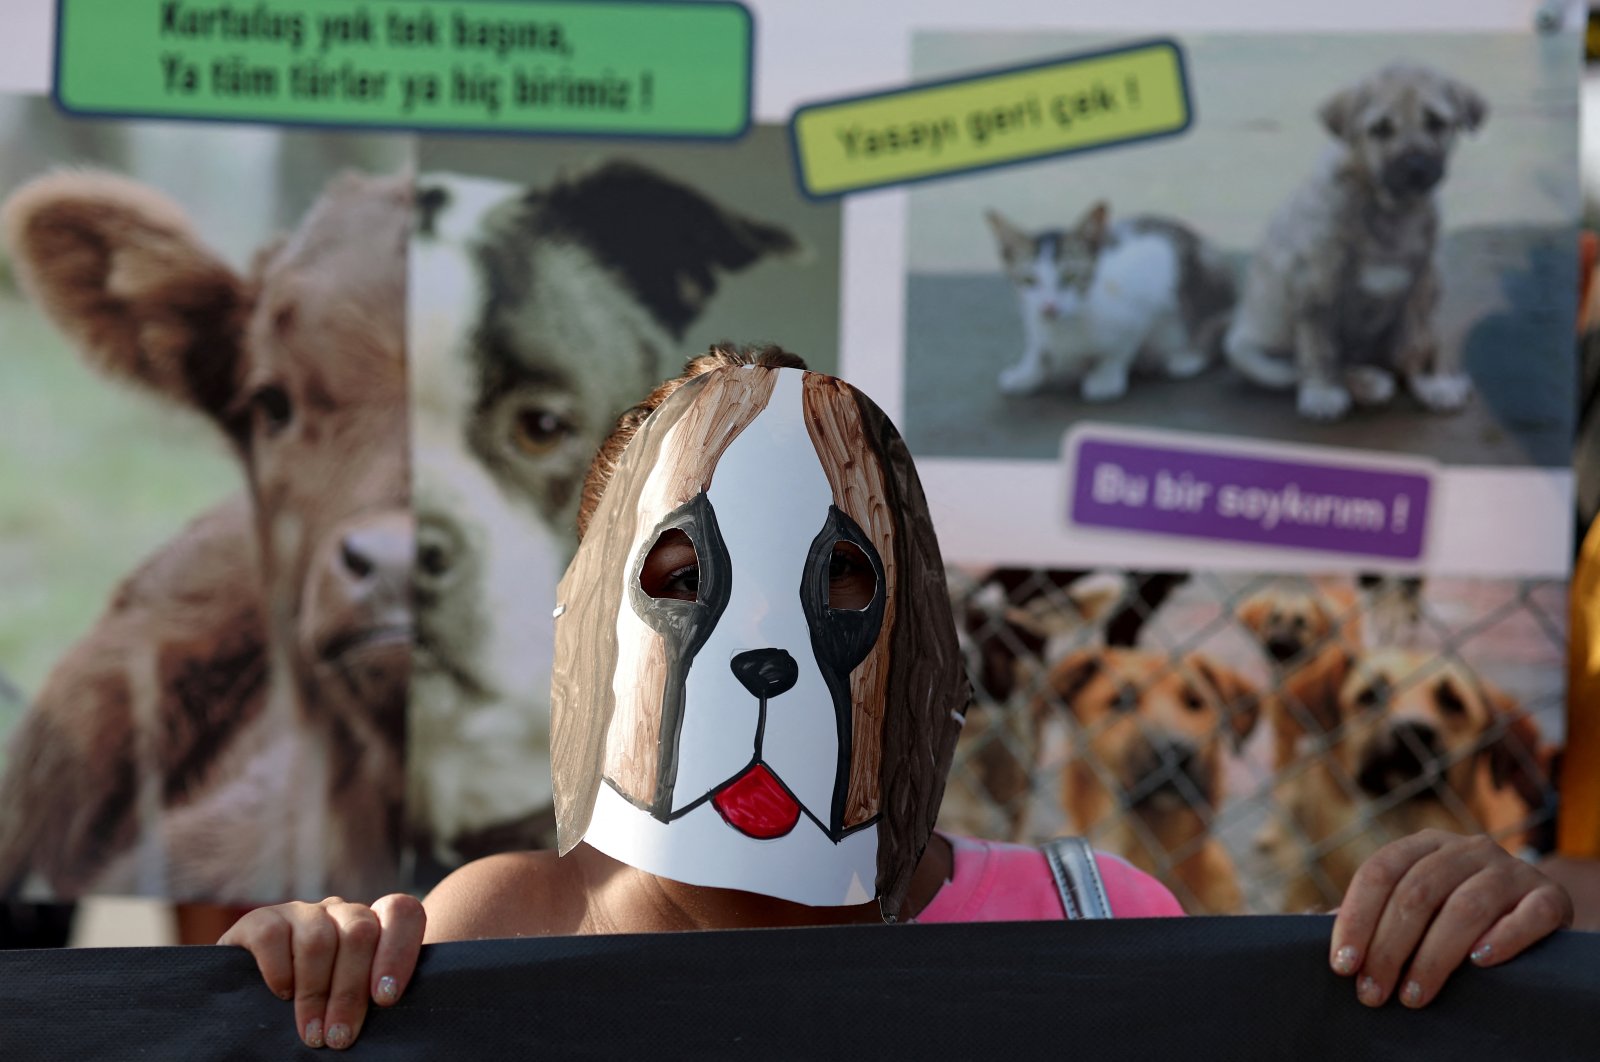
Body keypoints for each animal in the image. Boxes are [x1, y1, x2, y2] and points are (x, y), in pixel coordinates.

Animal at [1228, 61, 1491, 419]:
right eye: (1380, 129)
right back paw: (1364, 382)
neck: (1389, 208)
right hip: (1246, 351)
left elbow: (1424, 340)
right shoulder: (1314, 285)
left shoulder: (1425, 283)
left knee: (1402, 353)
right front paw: (1323, 392)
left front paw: (1434, 382)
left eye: (1436, 122)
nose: (1415, 168)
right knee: (1300, 367)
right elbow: (1320, 349)